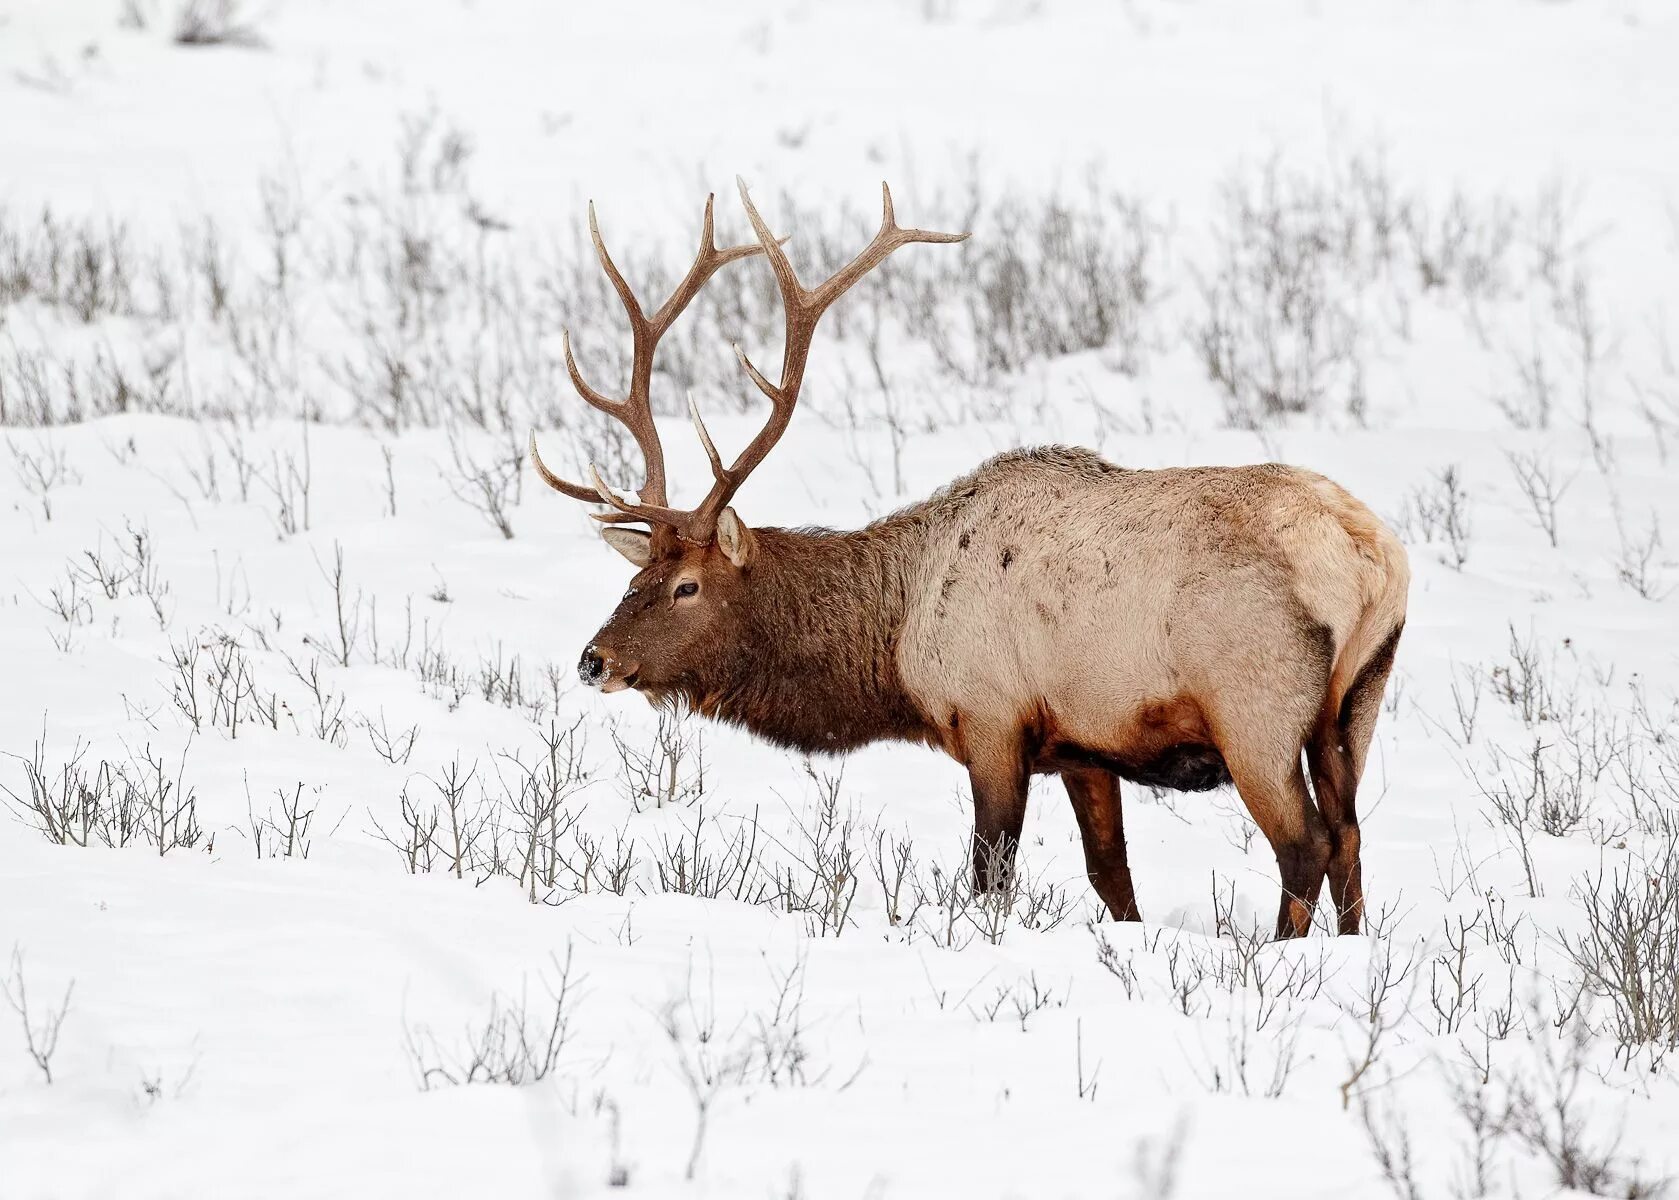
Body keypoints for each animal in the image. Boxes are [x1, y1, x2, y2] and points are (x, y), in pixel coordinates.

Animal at [530, 182, 1410, 946]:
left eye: (687, 585)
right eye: (634, 576)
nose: (592, 659)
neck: (896, 643)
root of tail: (1369, 556)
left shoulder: (991, 718)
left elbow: (991, 877)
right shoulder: (1083, 744)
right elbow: (1111, 877)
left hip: (1253, 705)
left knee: (1303, 844)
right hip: (1354, 703)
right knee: (1349, 837)